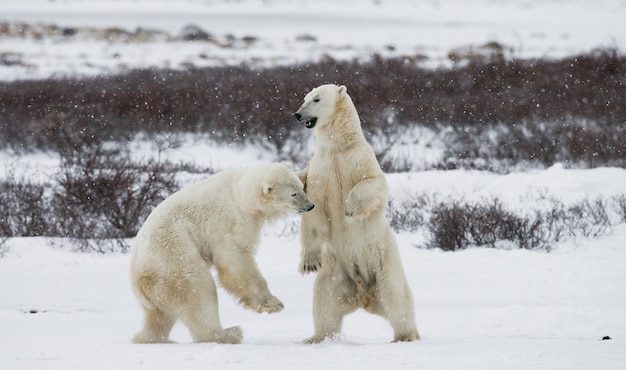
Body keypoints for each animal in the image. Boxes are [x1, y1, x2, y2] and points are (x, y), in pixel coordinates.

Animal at [129, 162, 312, 344]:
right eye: (293, 194)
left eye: (301, 187)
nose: (310, 206)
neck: (241, 194)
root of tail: (138, 282)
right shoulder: (231, 222)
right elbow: (235, 259)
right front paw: (273, 303)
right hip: (172, 260)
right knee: (199, 292)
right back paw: (228, 334)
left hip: (158, 289)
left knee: (159, 316)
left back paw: (152, 338)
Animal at [292, 84, 420, 344]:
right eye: (304, 98)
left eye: (316, 99)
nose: (298, 115)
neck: (336, 149)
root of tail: (363, 295)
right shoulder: (319, 172)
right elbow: (312, 213)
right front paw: (309, 263)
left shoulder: (360, 159)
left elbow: (374, 183)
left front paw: (350, 208)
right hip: (335, 273)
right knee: (324, 302)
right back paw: (315, 338)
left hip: (384, 264)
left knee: (396, 297)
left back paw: (405, 336)